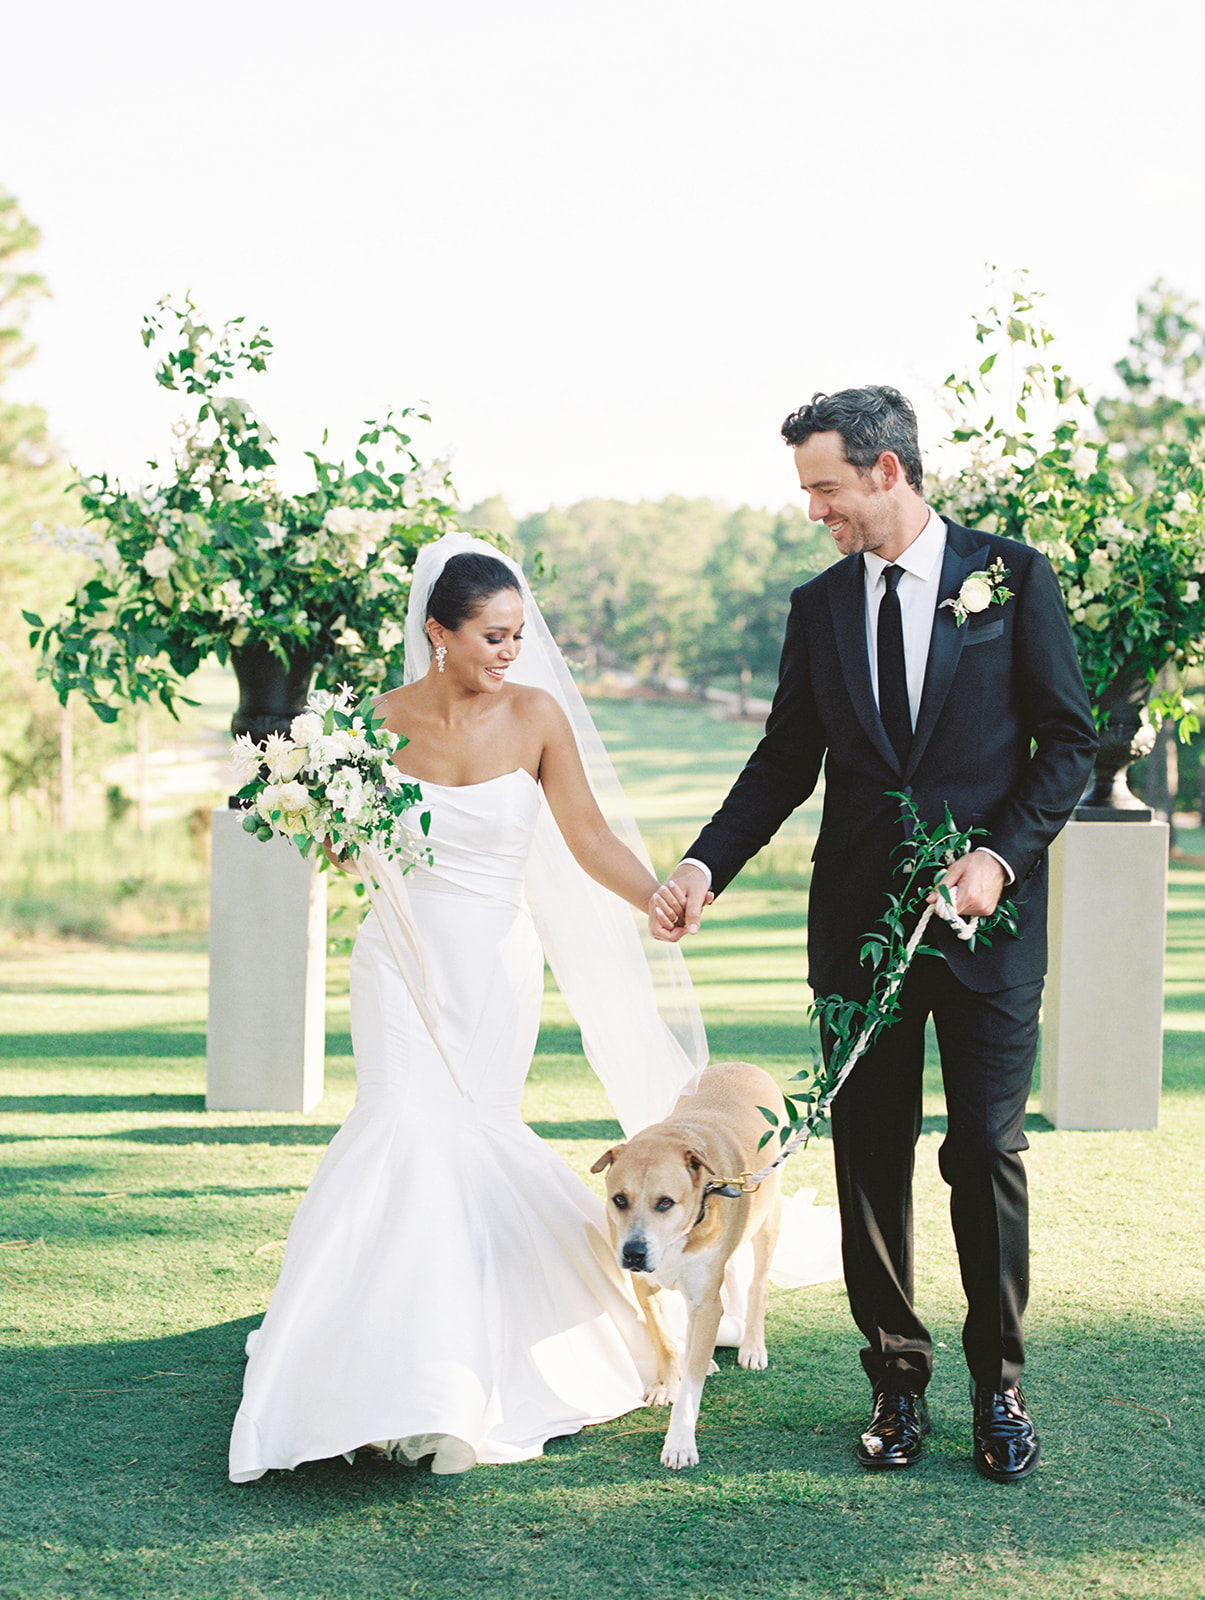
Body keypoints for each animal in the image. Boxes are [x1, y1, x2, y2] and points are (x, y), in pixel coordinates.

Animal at [588, 1056, 780, 1465]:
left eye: (665, 1202)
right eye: (619, 1199)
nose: (634, 1252)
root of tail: (744, 1064)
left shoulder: (707, 1299)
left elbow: (692, 1386)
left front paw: (679, 1440)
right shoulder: (645, 1285)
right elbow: (662, 1336)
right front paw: (665, 1384)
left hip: (769, 1217)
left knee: (757, 1285)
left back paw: (752, 1347)